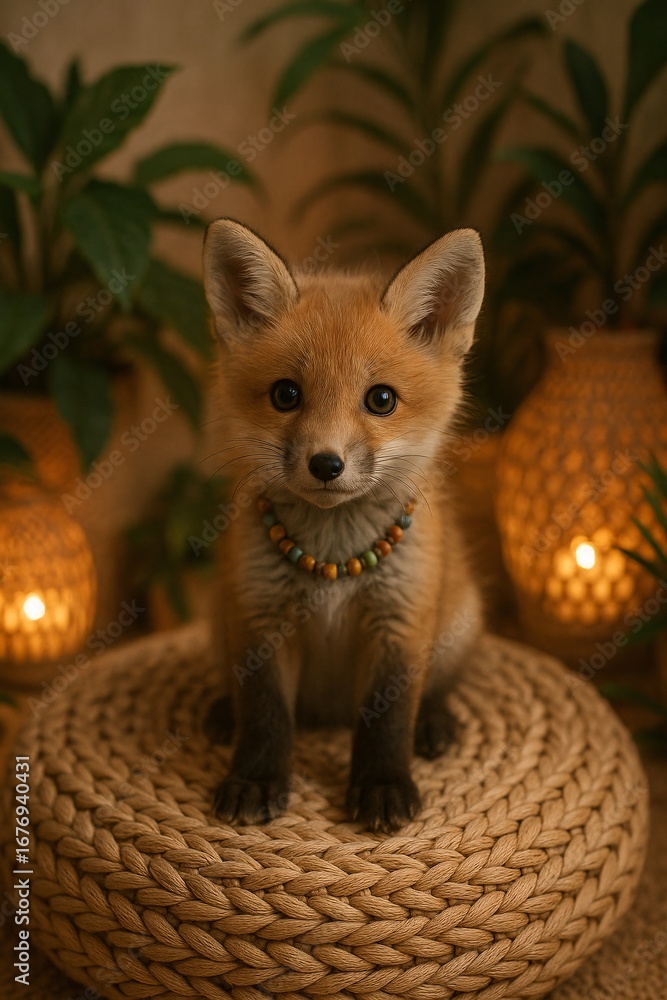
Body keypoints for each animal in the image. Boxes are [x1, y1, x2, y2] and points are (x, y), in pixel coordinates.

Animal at [202, 219, 485, 832]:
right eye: (286, 394)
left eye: (381, 399)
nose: (326, 465)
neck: (333, 559)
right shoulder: (260, 617)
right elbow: (263, 713)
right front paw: (255, 778)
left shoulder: (399, 622)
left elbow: (388, 719)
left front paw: (382, 787)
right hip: (220, 618)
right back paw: (220, 711)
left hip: (455, 622)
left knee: (437, 686)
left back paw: (434, 722)